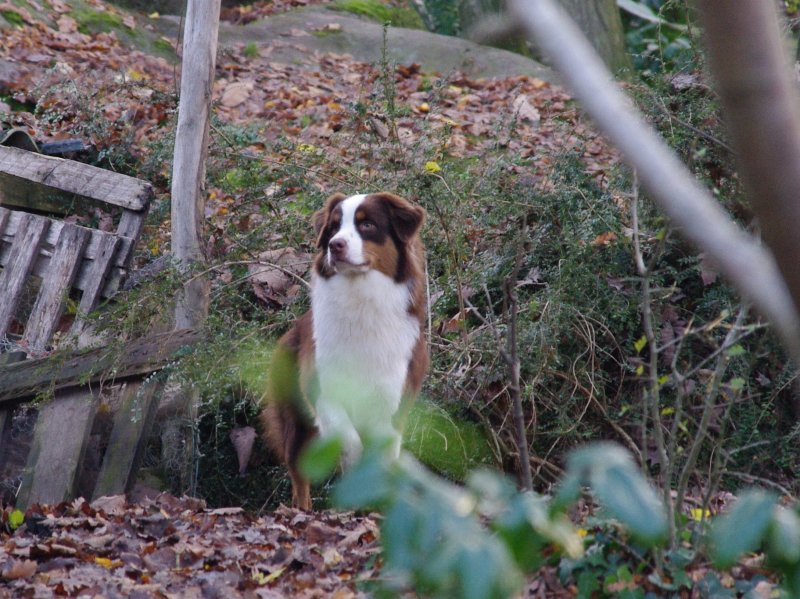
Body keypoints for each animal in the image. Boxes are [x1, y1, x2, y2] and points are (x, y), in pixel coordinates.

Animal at [260, 192, 428, 510]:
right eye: (334, 227)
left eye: (367, 225)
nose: (334, 245)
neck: (360, 299)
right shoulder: (322, 390)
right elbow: (349, 440)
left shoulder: (392, 400)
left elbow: (382, 456)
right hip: (296, 420)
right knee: (299, 472)